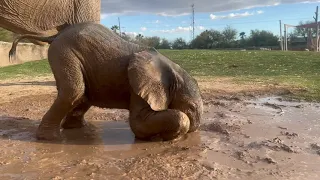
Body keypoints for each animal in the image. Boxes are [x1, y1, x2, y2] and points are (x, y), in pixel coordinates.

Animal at [11, 22, 205, 141]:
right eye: (191, 108)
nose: (195, 131)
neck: (171, 69)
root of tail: (56, 34)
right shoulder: (138, 85)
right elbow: (139, 123)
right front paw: (167, 137)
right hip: (63, 51)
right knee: (73, 91)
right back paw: (49, 139)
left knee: (82, 95)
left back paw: (76, 129)